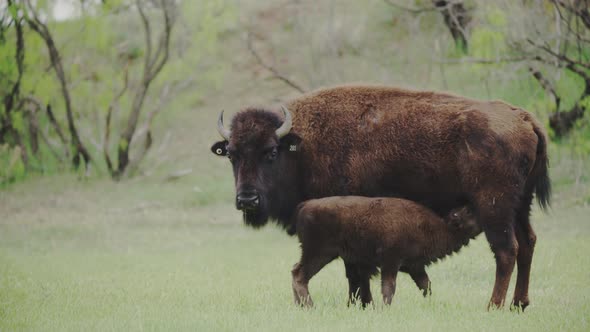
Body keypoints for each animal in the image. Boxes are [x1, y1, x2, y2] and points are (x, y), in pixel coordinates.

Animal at [292, 196, 480, 308]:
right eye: (468, 212)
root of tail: (305, 205)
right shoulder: (391, 262)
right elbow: (389, 286)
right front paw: (385, 308)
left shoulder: (415, 267)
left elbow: (426, 285)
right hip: (319, 254)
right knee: (300, 275)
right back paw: (310, 306)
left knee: (295, 271)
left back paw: (300, 305)